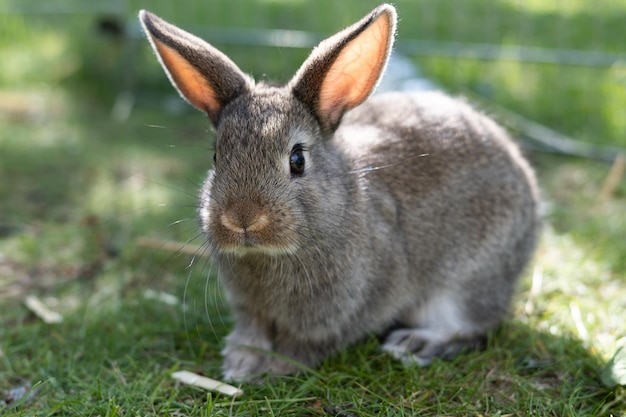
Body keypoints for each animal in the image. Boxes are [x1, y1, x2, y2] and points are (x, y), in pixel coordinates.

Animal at [139, 2, 540, 380]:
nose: (242, 218)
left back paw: (414, 343)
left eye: (297, 159)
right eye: (217, 156)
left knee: (471, 327)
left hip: (466, 284)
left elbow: (305, 343)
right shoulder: (251, 310)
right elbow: (253, 333)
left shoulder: (345, 308)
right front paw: (241, 363)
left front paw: (278, 367)